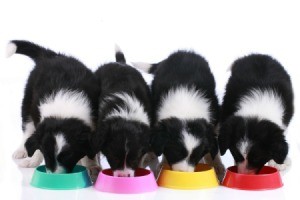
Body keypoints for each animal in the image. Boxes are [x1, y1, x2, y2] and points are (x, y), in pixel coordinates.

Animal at [8, 39, 99, 173]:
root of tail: (51, 56)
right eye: (47, 155)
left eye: (69, 156)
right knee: (27, 127)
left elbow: (90, 151)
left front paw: (92, 166)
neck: (64, 109)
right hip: (28, 100)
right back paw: (21, 151)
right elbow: (37, 140)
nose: (54, 175)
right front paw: (33, 160)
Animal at [134, 50, 225, 180]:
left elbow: (212, 145)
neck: (185, 108)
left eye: (196, 156)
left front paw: (216, 167)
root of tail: (183, 52)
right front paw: (162, 165)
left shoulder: (214, 115)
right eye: (176, 152)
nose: (183, 174)